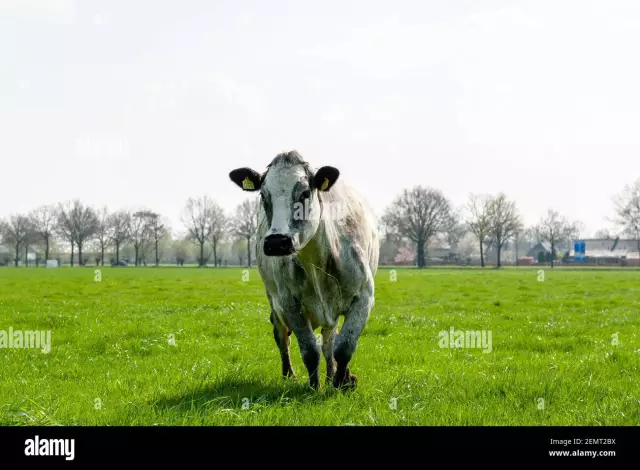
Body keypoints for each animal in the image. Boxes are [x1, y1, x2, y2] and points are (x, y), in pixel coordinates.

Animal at [231, 151, 378, 390]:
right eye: (263, 195)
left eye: (305, 193)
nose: (276, 242)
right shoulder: (290, 302)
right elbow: (309, 350)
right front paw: (314, 388)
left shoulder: (365, 296)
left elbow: (343, 347)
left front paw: (340, 381)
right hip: (274, 301)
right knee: (282, 336)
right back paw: (289, 375)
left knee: (329, 343)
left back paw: (330, 375)